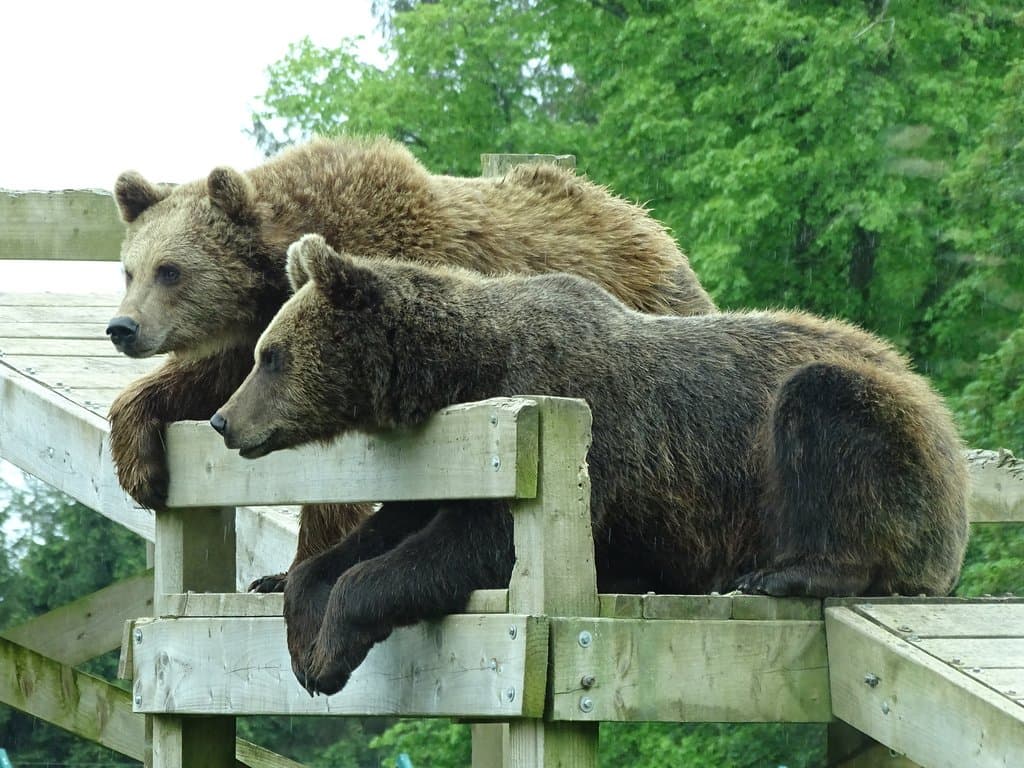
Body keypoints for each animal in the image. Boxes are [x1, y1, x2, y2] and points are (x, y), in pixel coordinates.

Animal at [105, 135, 716, 592]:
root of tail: (646, 219)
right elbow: (207, 381)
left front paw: (286, 573)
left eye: (171, 270)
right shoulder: (257, 337)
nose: (122, 327)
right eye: (129, 270)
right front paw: (141, 466)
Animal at [210, 234, 969, 696]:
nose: (223, 420)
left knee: (821, 416)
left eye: (271, 356)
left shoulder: (562, 441)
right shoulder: (453, 458)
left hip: (865, 441)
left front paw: (331, 647)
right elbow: (380, 532)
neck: (461, 379)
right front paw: (294, 606)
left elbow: (470, 543)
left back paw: (786, 572)